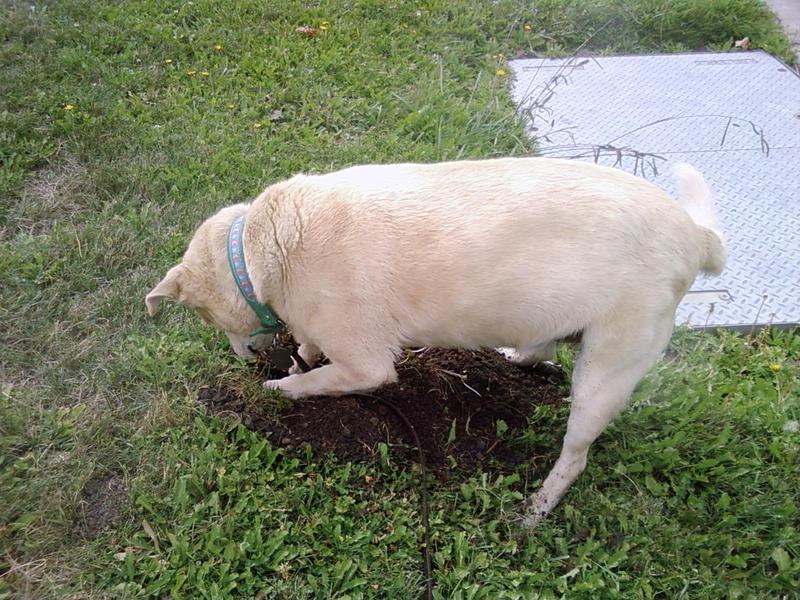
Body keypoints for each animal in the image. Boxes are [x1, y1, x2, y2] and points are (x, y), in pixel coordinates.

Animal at [146, 157, 725, 527]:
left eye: (205, 317)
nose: (243, 356)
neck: (263, 244)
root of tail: (696, 236)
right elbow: (308, 352)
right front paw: (294, 362)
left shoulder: (366, 366)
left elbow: (311, 381)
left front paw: (274, 388)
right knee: (541, 348)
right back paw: (517, 356)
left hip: (604, 374)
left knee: (575, 458)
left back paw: (534, 513)